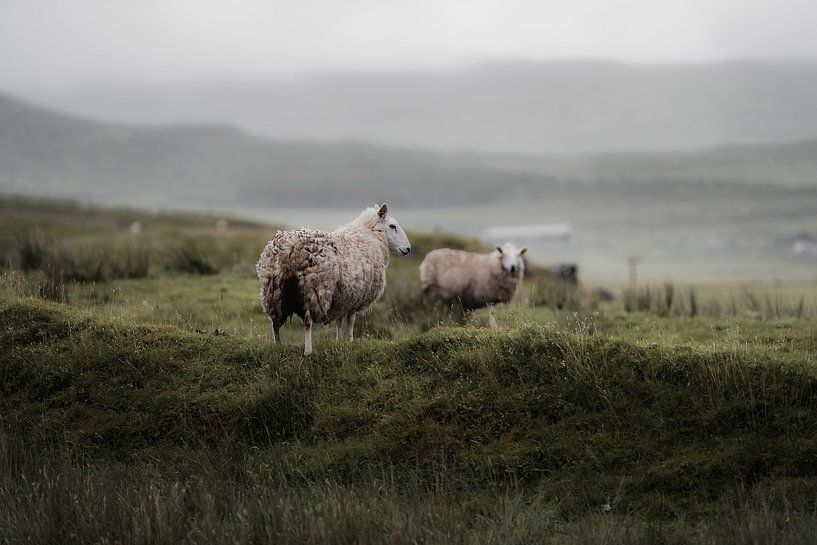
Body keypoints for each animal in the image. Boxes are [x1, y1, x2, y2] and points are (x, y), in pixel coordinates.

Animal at [256, 203, 411, 356]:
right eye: (392, 226)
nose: (408, 249)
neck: (370, 236)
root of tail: (289, 249)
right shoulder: (355, 299)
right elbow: (350, 322)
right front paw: (350, 341)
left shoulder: (342, 299)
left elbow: (339, 322)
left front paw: (339, 342)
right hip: (312, 290)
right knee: (307, 322)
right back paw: (308, 351)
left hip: (273, 291)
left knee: (275, 322)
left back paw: (277, 346)